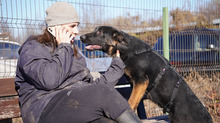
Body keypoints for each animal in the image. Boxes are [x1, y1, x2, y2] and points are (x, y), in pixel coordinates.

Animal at [80, 26, 212, 123]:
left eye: (100, 32)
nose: (81, 37)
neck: (128, 50)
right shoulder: (135, 84)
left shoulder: (141, 82)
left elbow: (131, 102)